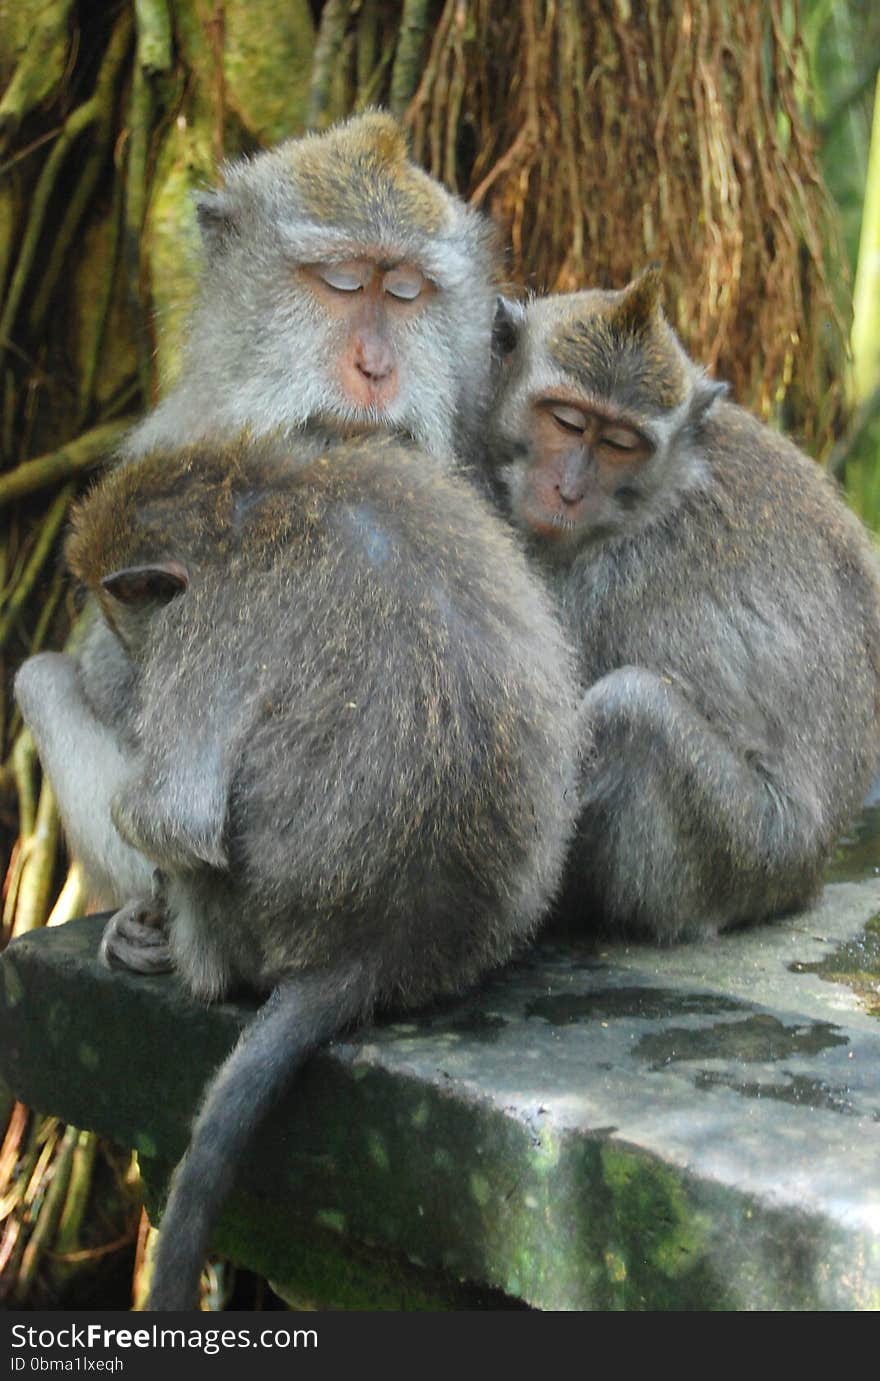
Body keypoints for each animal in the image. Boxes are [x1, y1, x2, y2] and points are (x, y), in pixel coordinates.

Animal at [17, 428, 580, 1303]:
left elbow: (173, 816)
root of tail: (377, 948)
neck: (247, 499)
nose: (129, 666)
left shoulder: (204, 629)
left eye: (124, 618)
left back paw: (175, 949)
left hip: (241, 928)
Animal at [486, 265, 878, 944]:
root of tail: (811, 875)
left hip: (752, 852)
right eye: (566, 421)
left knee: (632, 708)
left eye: (621, 444)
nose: (569, 490)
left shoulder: (606, 579)